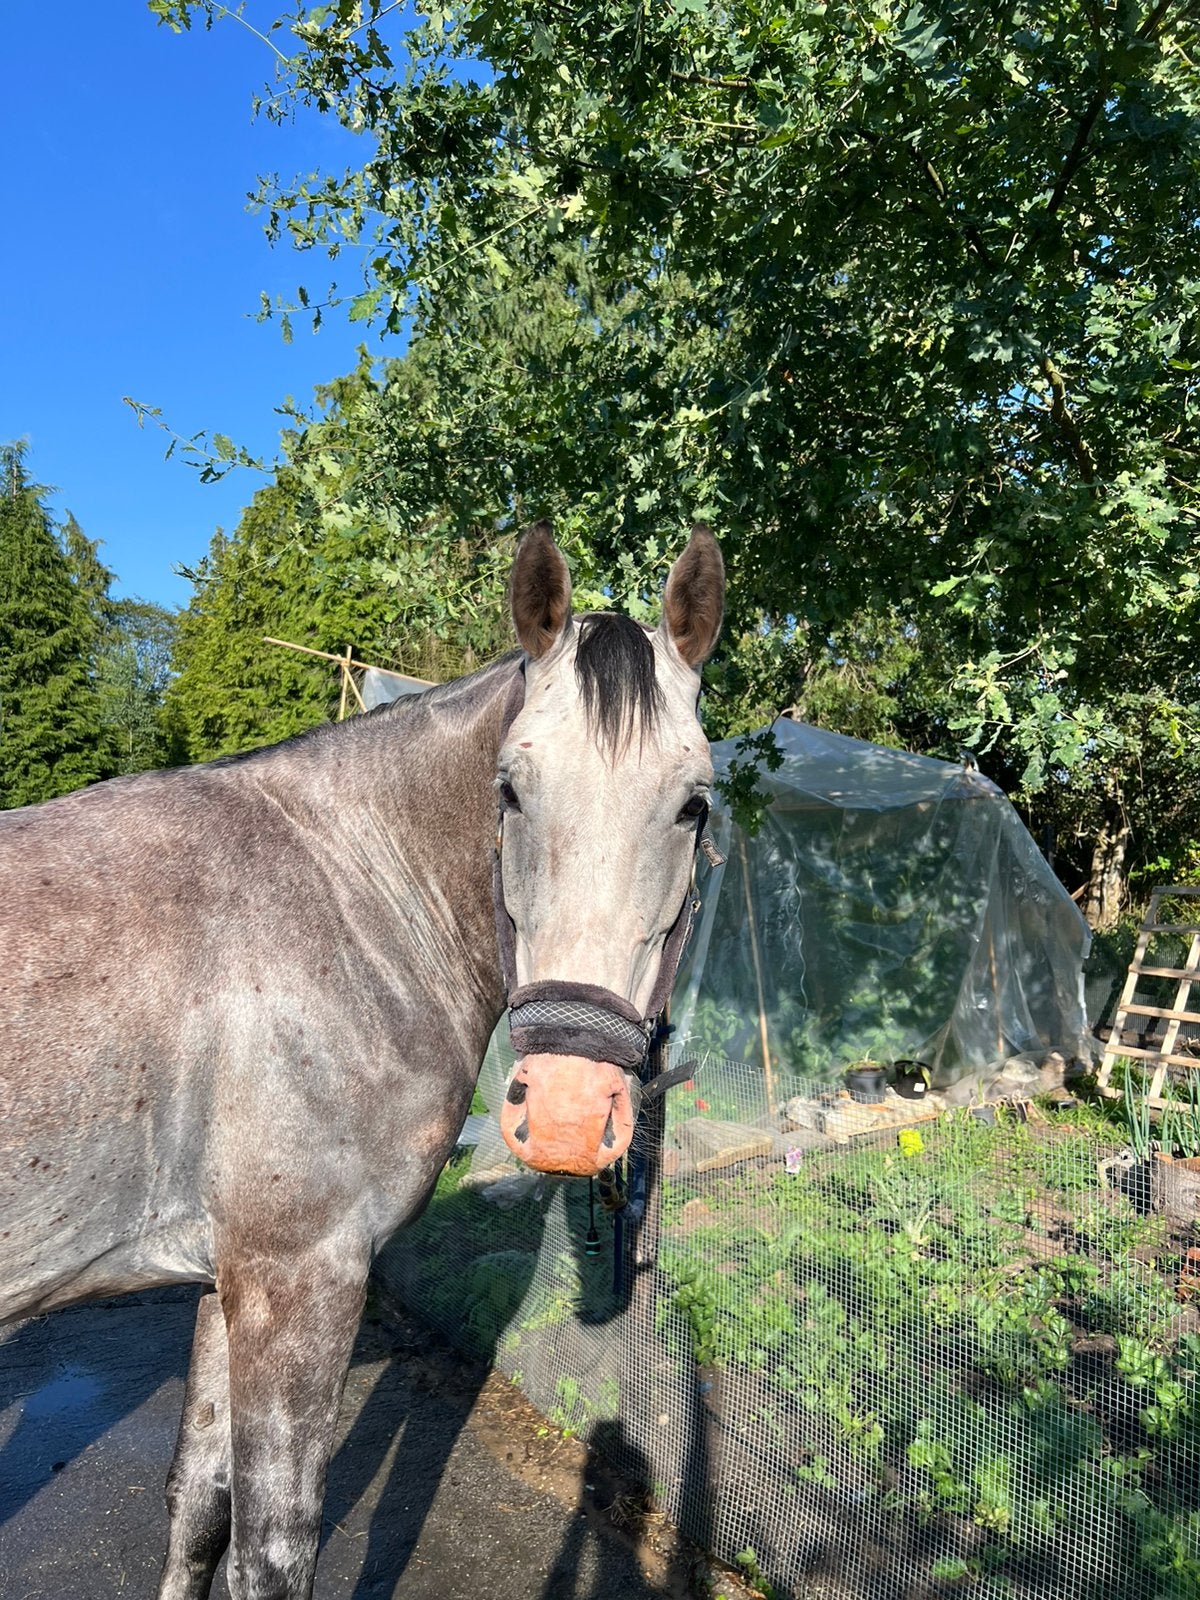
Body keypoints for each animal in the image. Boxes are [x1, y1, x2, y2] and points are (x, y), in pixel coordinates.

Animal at [0, 522, 724, 1599]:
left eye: (693, 805)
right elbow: (272, 1548)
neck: (349, 903)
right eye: (509, 790)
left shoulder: (225, 1280)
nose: (565, 1107)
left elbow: (196, 1507)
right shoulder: (301, 1277)